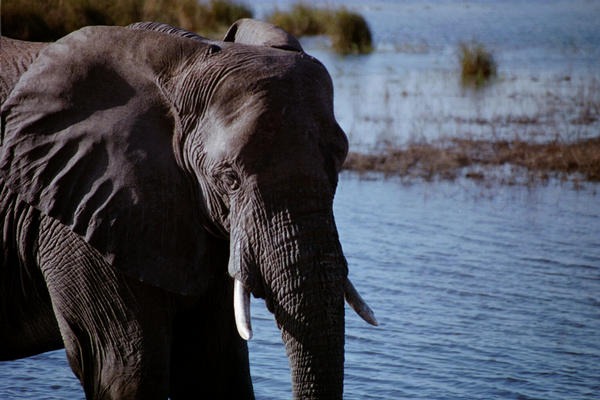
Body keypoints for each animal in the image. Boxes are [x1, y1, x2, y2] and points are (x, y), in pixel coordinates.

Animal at [0, 19, 376, 400]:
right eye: (229, 179)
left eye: (339, 165)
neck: (184, 61)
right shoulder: (81, 214)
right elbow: (123, 371)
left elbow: (212, 368)